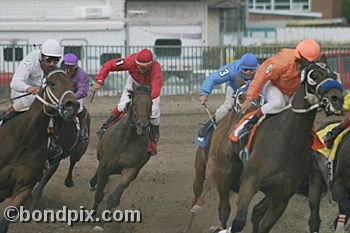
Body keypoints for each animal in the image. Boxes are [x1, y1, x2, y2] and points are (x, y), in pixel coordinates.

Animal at [89, 84, 152, 228]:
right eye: (134, 103)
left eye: (151, 104)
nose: (143, 125)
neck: (126, 139)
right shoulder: (104, 165)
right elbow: (99, 194)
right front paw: (92, 215)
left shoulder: (131, 170)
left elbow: (114, 196)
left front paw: (102, 222)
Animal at [183, 86, 262, 233]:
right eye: (240, 96)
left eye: (260, 98)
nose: (250, 110)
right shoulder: (218, 172)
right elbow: (222, 207)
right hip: (200, 169)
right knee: (197, 192)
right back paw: (189, 222)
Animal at [231, 61, 344, 233]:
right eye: (314, 75)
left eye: (333, 75)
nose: (337, 99)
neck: (286, 141)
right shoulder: (249, 180)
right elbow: (238, 222)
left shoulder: (282, 197)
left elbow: (264, 225)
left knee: (257, 211)